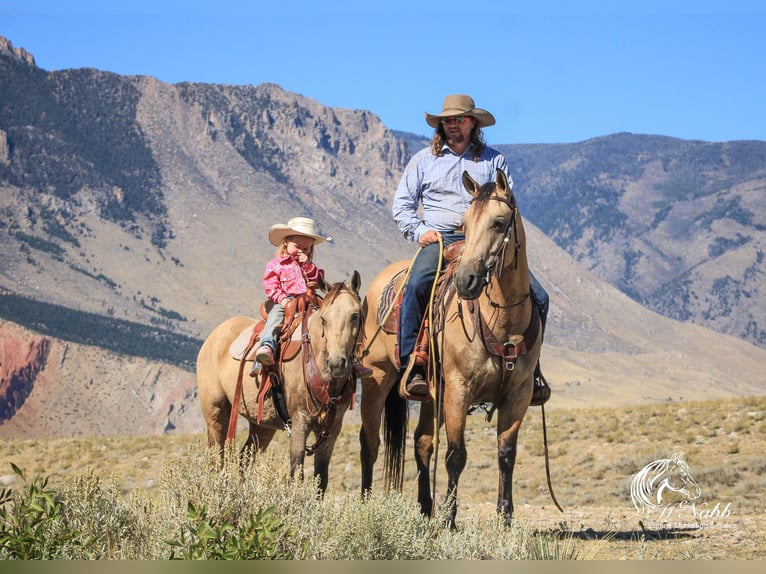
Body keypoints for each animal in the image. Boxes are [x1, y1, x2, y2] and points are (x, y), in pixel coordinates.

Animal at [198, 272, 366, 492]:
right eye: (324, 319)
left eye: (355, 315)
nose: (337, 364)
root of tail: (213, 336)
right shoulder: (300, 422)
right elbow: (296, 472)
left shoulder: (331, 430)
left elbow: (321, 479)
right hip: (216, 414)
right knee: (217, 460)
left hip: (262, 427)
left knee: (244, 459)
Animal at [364, 171, 544, 532]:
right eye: (464, 223)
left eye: (499, 222)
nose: (466, 281)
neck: (503, 321)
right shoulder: (459, 391)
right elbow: (456, 455)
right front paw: (449, 519)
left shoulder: (518, 394)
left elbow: (506, 453)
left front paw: (505, 518)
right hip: (377, 377)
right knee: (370, 442)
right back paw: (365, 501)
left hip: (431, 392)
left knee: (422, 442)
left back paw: (424, 507)